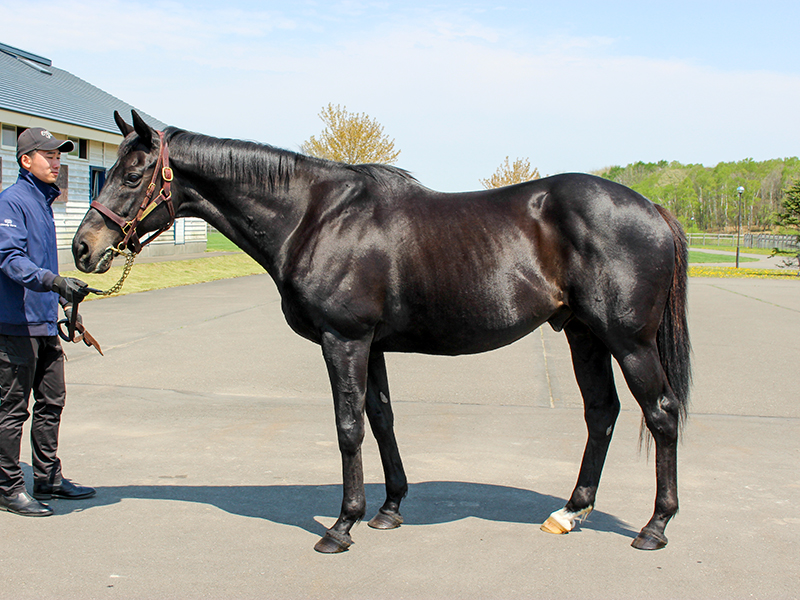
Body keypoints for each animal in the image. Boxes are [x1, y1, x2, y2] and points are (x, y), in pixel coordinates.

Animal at [72, 110, 691, 554]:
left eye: (133, 174)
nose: (83, 248)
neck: (315, 215)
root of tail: (653, 208)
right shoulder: (371, 346)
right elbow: (381, 417)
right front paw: (388, 510)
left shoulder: (343, 340)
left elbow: (348, 426)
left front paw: (341, 526)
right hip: (582, 334)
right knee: (602, 413)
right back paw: (570, 512)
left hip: (628, 342)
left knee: (660, 413)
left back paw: (655, 526)